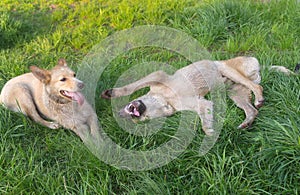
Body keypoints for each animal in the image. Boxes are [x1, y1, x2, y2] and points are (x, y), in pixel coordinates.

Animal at [101, 56, 296, 136]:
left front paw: (112, 93)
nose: (122, 114)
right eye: (141, 121)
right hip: (235, 93)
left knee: (257, 86)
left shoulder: (158, 76)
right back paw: (246, 122)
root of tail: (261, 65)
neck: (166, 100)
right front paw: (210, 132)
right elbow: (204, 121)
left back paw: (259, 97)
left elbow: (131, 87)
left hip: (226, 69)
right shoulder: (202, 104)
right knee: (252, 110)